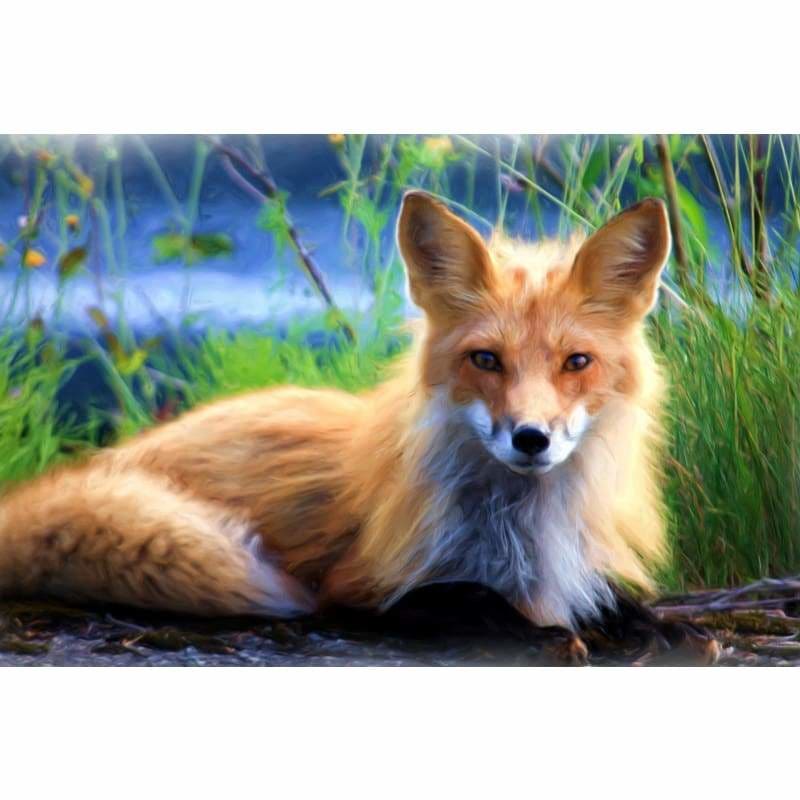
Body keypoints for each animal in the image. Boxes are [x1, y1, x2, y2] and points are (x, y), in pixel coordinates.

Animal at [0, 192, 682, 646]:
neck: (521, 533)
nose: (531, 438)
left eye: (577, 362)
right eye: (486, 359)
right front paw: (543, 631)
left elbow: (619, 603)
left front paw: (644, 625)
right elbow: (470, 597)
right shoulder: (360, 588)